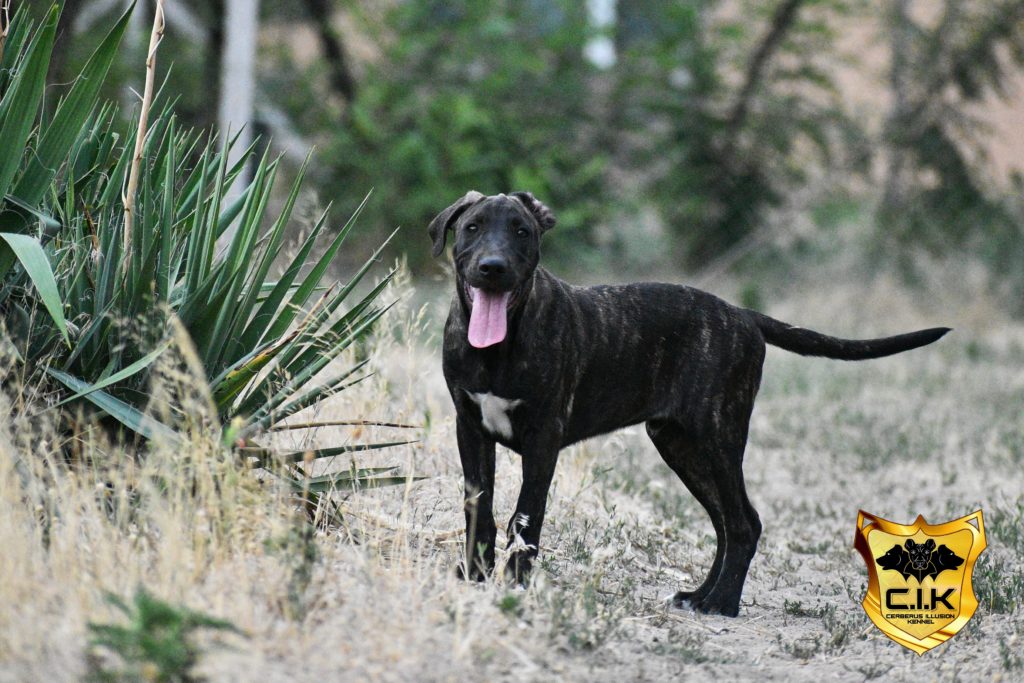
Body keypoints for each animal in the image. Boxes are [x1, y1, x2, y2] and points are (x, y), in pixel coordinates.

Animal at [428, 189, 946, 618]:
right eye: (472, 227)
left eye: (522, 231)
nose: (493, 266)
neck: (497, 350)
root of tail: (743, 316)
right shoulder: (469, 428)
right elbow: (479, 505)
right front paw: (474, 574)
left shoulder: (543, 439)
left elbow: (525, 515)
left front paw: (515, 583)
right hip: (682, 445)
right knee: (727, 523)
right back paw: (699, 595)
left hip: (718, 437)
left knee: (743, 523)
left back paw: (721, 604)